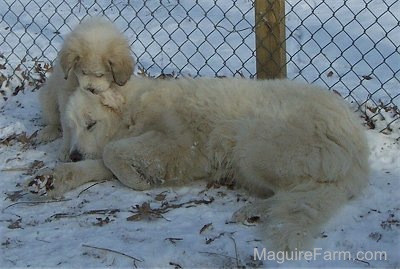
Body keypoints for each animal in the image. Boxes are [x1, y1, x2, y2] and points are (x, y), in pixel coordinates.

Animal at [29, 75, 370, 249]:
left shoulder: (179, 146)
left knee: (304, 191)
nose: (74, 152)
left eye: (91, 124)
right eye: (71, 126)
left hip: (250, 143)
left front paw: (139, 180)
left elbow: (113, 155)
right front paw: (53, 178)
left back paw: (254, 210)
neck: (132, 112)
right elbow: (100, 162)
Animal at [35, 16, 134, 161]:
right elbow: (67, 126)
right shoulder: (66, 96)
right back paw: (48, 131)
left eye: (100, 74)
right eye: (83, 72)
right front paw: (66, 150)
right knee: (53, 120)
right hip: (48, 96)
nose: (90, 89)